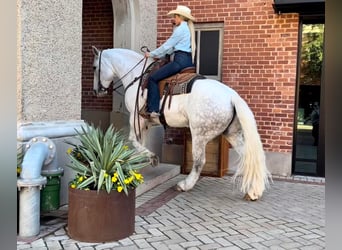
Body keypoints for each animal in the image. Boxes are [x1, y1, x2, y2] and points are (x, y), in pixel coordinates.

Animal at [92, 46, 272, 200]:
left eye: (94, 67)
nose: (97, 91)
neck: (137, 77)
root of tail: (231, 96)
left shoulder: (136, 117)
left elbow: (133, 140)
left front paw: (151, 158)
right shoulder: (144, 122)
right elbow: (140, 141)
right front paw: (140, 163)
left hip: (199, 134)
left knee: (199, 162)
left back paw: (185, 185)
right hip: (232, 133)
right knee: (248, 157)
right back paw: (254, 191)